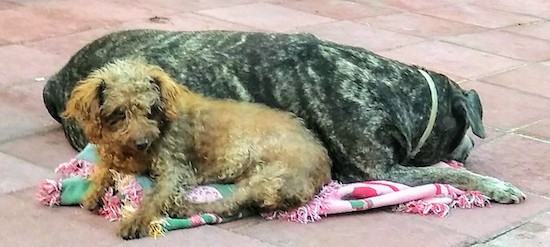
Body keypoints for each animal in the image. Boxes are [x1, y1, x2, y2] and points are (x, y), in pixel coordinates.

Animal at [43, 29, 528, 204]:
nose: (471, 145)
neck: (386, 87)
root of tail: (60, 78)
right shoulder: (379, 170)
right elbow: (450, 174)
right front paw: (495, 186)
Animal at [64, 57, 332, 239]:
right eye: (119, 113)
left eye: (150, 110)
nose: (142, 143)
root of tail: (325, 169)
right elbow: (103, 169)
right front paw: (94, 192)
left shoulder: (175, 170)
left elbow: (154, 197)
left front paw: (137, 220)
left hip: (269, 176)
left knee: (229, 203)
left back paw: (184, 207)